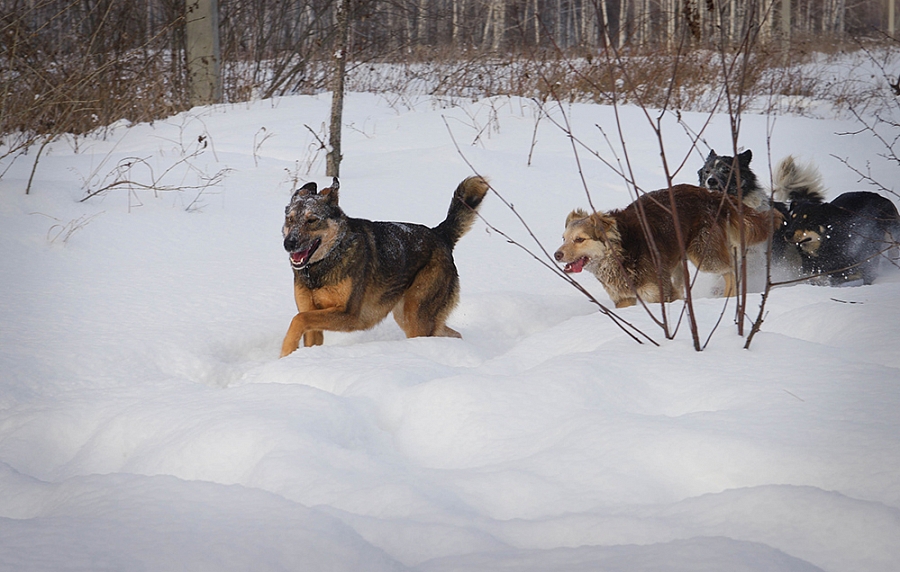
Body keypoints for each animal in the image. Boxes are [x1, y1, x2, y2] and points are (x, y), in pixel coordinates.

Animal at [284, 174, 488, 356]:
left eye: (312, 220)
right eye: (290, 219)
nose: (288, 243)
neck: (319, 268)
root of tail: (440, 234)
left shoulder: (349, 314)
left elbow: (298, 320)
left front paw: (285, 350)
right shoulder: (310, 312)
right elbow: (304, 323)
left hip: (416, 316)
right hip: (407, 316)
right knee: (452, 333)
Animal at [552, 184, 776, 308]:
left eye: (579, 239)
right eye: (563, 238)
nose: (556, 255)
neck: (622, 253)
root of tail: (711, 194)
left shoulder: (661, 294)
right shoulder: (624, 300)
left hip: (703, 255)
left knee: (730, 271)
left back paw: (727, 297)